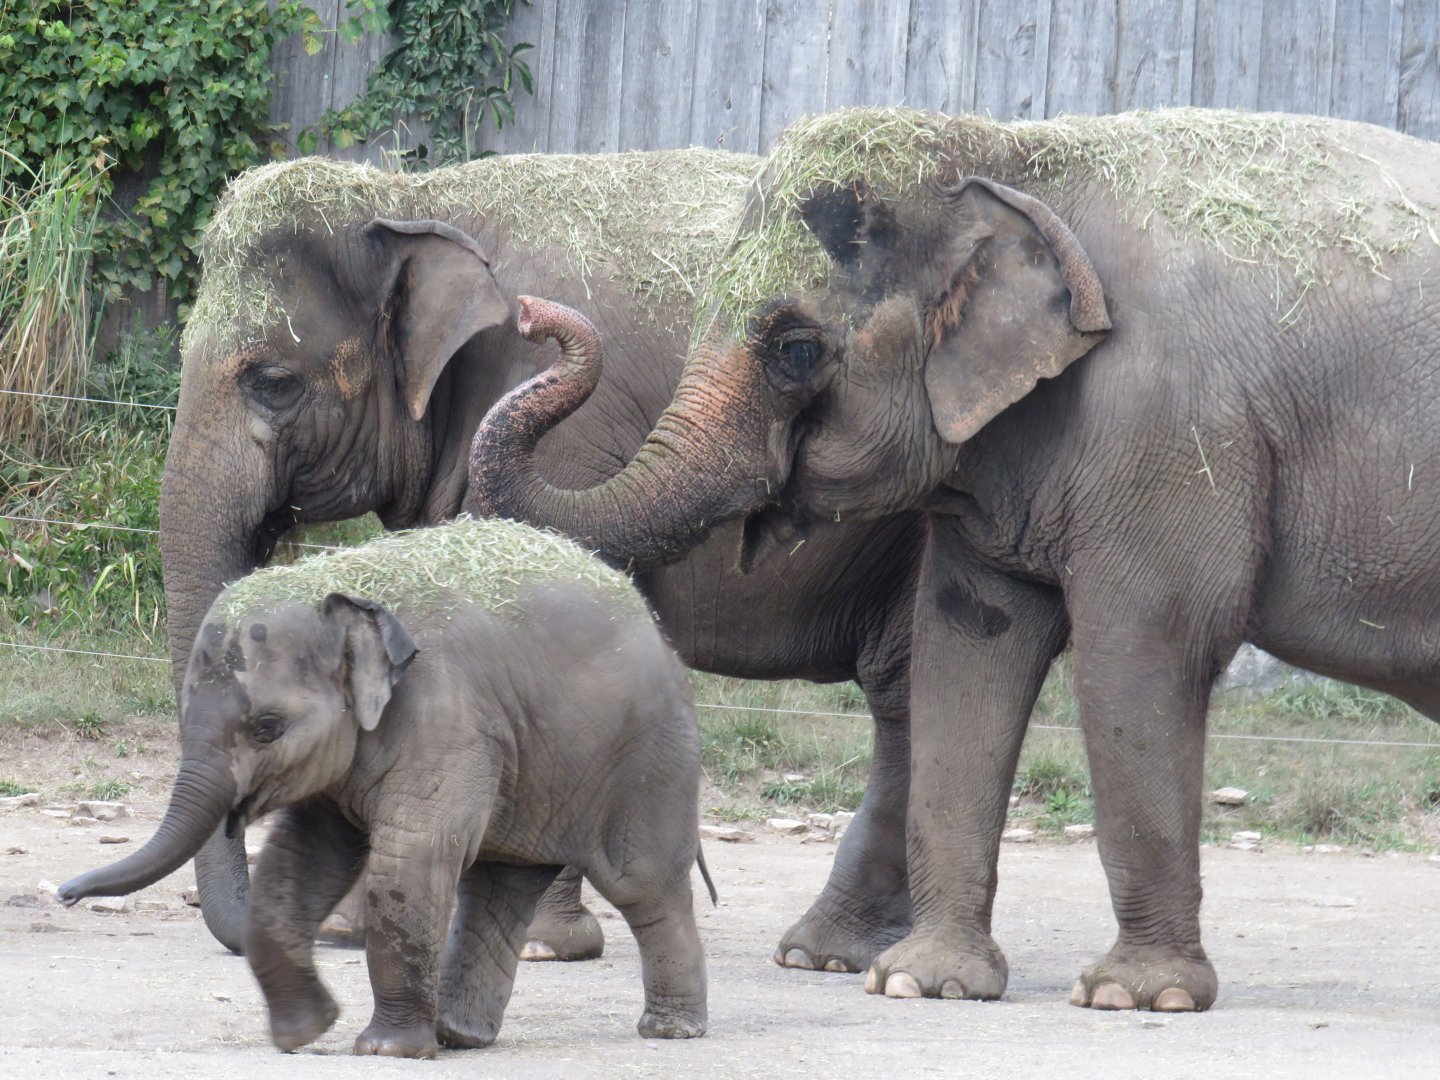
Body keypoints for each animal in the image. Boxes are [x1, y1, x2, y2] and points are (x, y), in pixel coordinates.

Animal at [60, 517, 711, 1056]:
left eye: (267, 727)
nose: (65, 893)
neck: (346, 586)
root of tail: (654, 625)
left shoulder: (447, 718)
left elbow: (412, 858)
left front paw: (384, 1050)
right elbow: (301, 859)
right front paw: (303, 1034)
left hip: (646, 757)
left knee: (641, 882)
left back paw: (671, 1030)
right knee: (499, 885)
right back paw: (460, 1036)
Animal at [164, 149, 920, 971]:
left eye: (271, 382)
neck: (418, 199)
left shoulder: (574, 437)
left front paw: (537, 944)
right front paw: (354, 925)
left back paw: (828, 953)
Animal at [467, 107, 1440, 1011]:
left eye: (795, 349)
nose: (531, 312)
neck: (1022, 154)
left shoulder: (1172, 427)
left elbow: (1145, 647)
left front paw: (1133, 997)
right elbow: (966, 651)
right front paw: (921, 983)